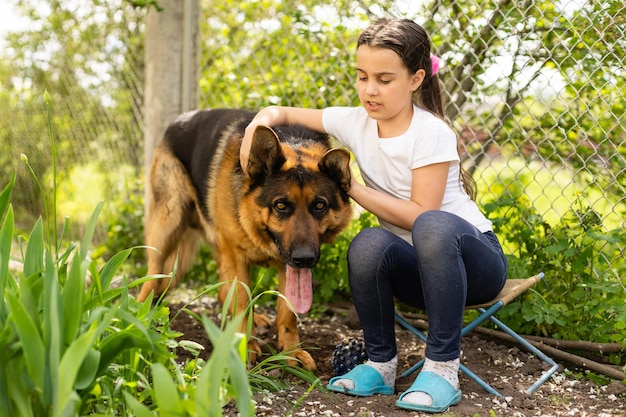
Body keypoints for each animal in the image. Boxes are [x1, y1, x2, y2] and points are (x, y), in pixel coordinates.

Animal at [137, 109, 352, 368]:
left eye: (319, 206)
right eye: (281, 205)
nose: (304, 259)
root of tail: (180, 119)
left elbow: (287, 310)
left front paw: (291, 351)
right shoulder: (236, 257)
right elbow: (241, 304)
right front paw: (244, 346)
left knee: (222, 292)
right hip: (168, 223)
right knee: (152, 274)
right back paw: (137, 313)